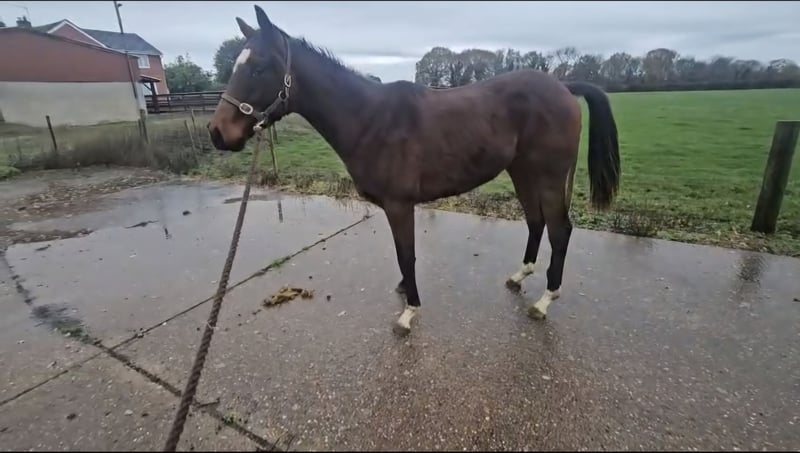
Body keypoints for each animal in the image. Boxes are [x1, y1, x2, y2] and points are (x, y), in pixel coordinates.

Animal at [208, 5, 621, 336]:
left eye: (259, 68)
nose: (217, 133)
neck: (370, 119)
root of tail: (564, 87)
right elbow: (401, 255)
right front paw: (406, 292)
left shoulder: (399, 205)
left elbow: (406, 255)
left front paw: (409, 313)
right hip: (522, 171)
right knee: (536, 221)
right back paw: (519, 276)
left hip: (549, 176)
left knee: (559, 229)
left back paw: (545, 300)